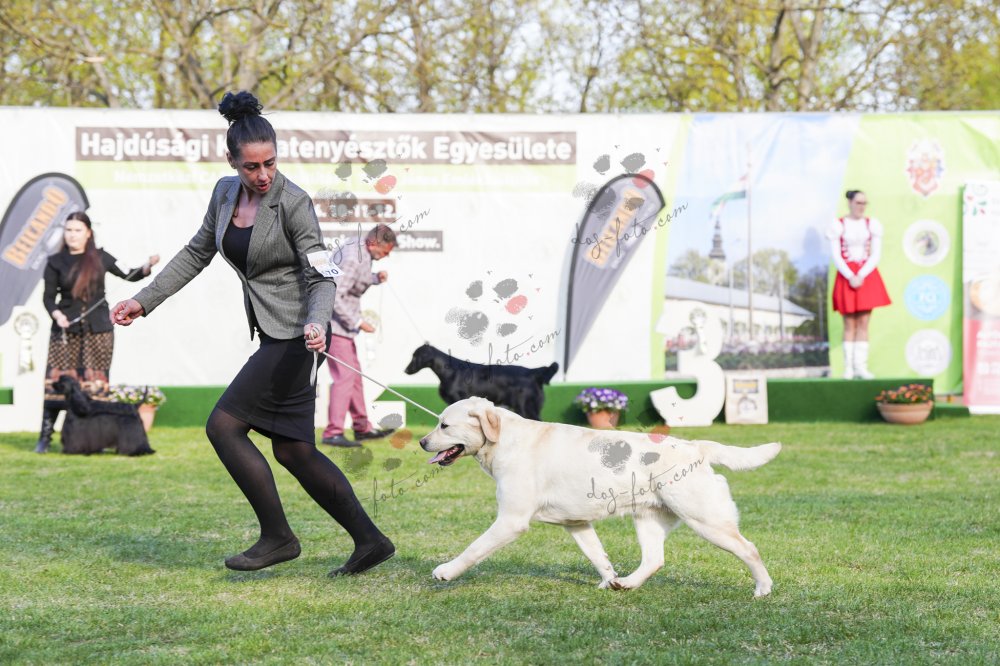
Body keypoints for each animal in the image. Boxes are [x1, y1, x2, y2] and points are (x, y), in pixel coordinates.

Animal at [404, 343, 558, 420]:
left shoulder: (458, 399)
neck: (449, 371)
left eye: (414, 356)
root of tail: (533, 372)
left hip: (526, 407)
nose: (405, 370)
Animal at [420, 397, 780, 597]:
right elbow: (598, 556)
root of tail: (696, 447)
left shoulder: (511, 520)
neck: (505, 440)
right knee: (654, 560)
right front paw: (610, 579)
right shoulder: (576, 523)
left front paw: (446, 571)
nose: (423, 442)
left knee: (749, 549)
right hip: (647, 520)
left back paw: (763, 589)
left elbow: (474, 548)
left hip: (705, 519)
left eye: (444, 425)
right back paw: (627, 584)